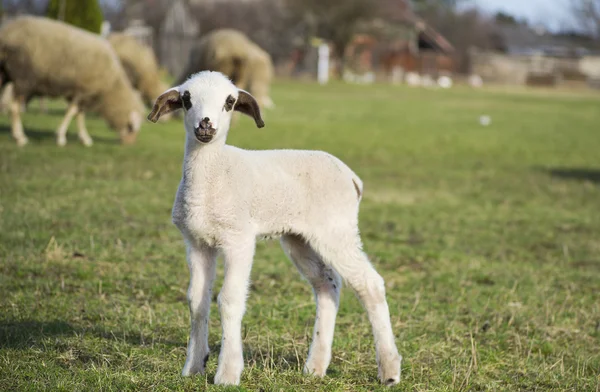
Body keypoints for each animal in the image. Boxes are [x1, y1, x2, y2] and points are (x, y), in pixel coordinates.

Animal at [0, 15, 145, 147]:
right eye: (131, 128)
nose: (130, 145)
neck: (110, 87)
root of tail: (6, 33)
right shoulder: (83, 91)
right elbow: (72, 112)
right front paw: (61, 137)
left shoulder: (81, 94)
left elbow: (79, 115)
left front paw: (84, 139)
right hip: (23, 78)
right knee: (15, 107)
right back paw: (20, 137)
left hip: (4, 74)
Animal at [148, 71, 404, 386]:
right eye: (186, 99)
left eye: (229, 102)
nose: (205, 124)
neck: (214, 176)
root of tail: (352, 177)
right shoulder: (197, 242)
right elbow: (197, 301)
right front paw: (193, 367)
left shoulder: (239, 239)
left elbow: (229, 299)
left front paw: (228, 373)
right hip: (300, 238)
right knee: (327, 285)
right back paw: (315, 366)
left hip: (337, 229)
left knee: (369, 284)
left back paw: (389, 370)